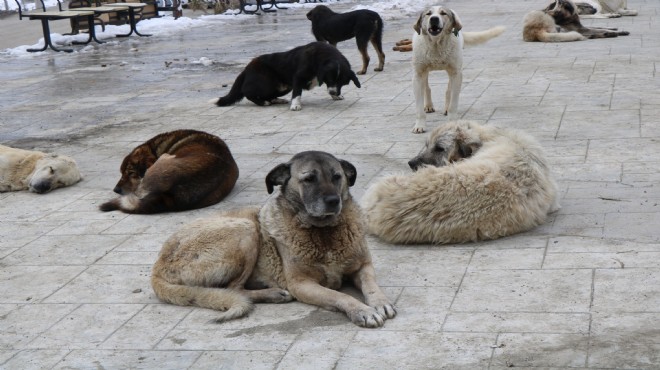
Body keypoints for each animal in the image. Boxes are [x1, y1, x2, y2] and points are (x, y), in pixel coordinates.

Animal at [99, 129, 238, 214]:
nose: (116, 190)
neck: (153, 148)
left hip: (165, 157)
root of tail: (170, 196)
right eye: (121, 173)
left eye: (131, 173)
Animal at [151, 150, 398, 326]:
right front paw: (362, 310)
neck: (324, 232)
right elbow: (340, 296)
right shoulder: (302, 284)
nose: (333, 201)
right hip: (245, 230)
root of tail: (157, 268)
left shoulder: (363, 266)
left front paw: (380, 302)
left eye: (337, 177)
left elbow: (371, 285)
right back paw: (273, 293)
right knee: (233, 289)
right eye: (309, 179)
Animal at [217, 42, 360, 111]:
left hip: (283, 87)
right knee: (247, 92)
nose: (333, 92)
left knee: (269, 95)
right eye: (329, 79)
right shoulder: (298, 78)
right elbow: (297, 93)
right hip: (266, 84)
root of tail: (247, 67)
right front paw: (295, 105)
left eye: (342, 82)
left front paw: (335, 96)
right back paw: (263, 102)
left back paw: (276, 100)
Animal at [412, 6, 506, 134]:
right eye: (428, 14)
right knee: (427, 87)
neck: (436, 45)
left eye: (443, 13)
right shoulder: (418, 74)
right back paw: (429, 106)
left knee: (448, 90)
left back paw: (446, 108)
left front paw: (452, 121)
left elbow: (453, 102)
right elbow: (418, 108)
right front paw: (420, 125)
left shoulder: (456, 73)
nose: (434, 19)